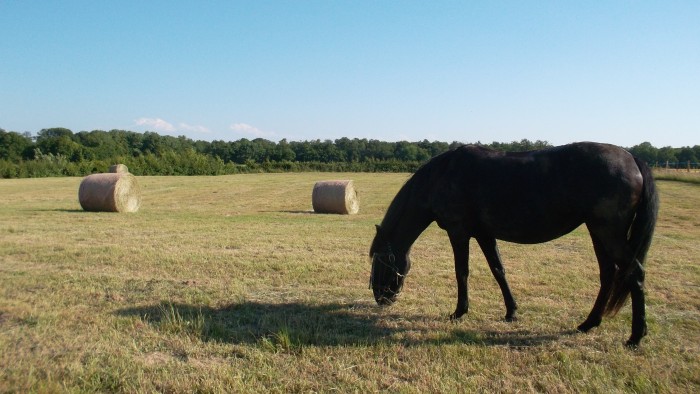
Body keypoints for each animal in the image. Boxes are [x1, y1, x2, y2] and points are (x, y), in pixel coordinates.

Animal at [370, 142, 660, 348]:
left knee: (634, 273)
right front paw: (511, 312)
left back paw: (635, 337)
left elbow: (461, 272)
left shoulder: (459, 232)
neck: (442, 175)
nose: (381, 298)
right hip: (598, 232)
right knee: (608, 274)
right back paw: (589, 323)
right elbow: (498, 270)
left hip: (609, 233)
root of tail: (632, 158)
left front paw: (459, 312)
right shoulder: (484, 234)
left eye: (379, 260)